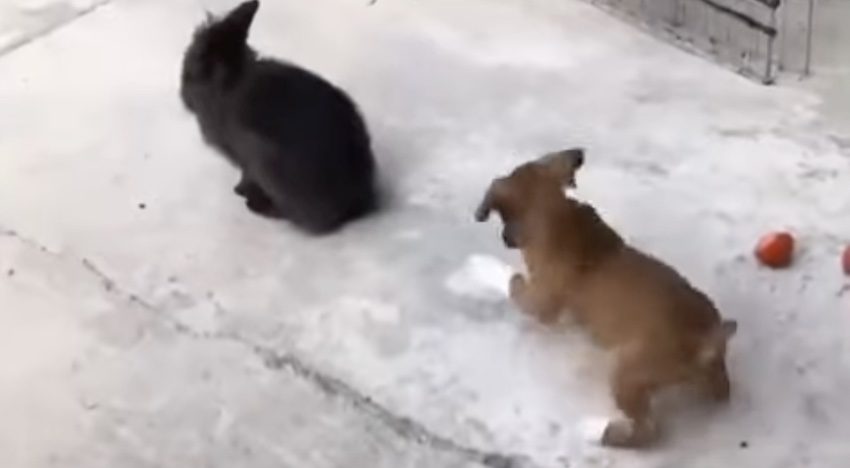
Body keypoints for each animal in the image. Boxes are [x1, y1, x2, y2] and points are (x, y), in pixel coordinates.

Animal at [181, 0, 376, 234]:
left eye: (192, 66)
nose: (183, 97)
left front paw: (239, 190)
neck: (228, 79)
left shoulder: (245, 160)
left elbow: (245, 177)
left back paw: (258, 206)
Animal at [476, 149, 736, 446]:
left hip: (627, 374)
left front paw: (513, 281)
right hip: (701, 373)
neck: (555, 214)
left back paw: (613, 436)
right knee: (721, 389)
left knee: (649, 430)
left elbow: (519, 290)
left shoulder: (542, 302)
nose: (507, 238)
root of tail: (706, 338)